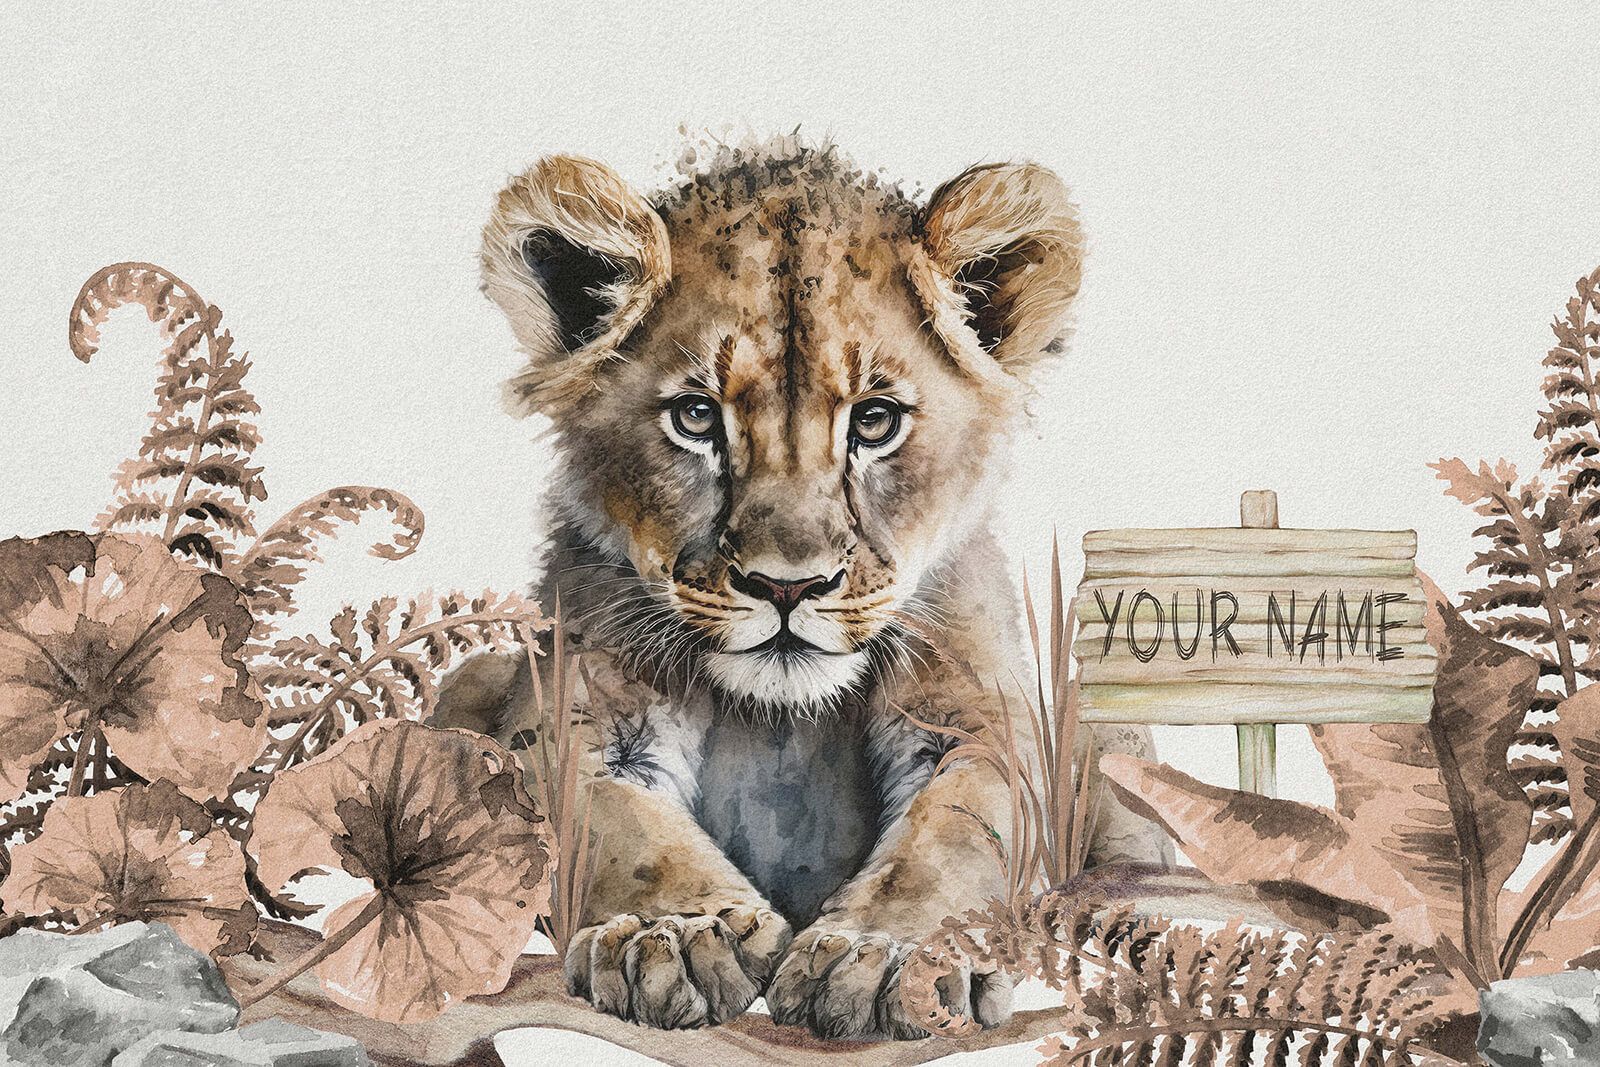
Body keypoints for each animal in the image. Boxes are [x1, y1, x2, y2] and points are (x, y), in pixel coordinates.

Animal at [434, 138, 1170, 1040]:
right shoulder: (575, 717)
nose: (788, 586)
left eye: (875, 422)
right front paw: (676, 935)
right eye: (695, 417)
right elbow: (615, 822)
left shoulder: (977, 720)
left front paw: (889, 957)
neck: (781, 717)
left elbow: (953, 835)